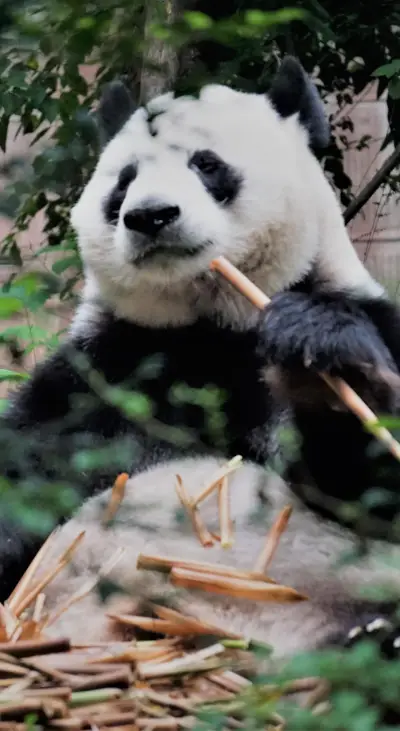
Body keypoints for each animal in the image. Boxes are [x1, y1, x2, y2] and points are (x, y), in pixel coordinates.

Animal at [2, 56, 400, 662]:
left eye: (206, 164)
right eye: (124, 180)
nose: (150, 216)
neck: (208, 325)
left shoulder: (370, 319)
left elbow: (368, 496)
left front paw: (325, 360)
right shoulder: (102, 372)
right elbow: (30, 468)